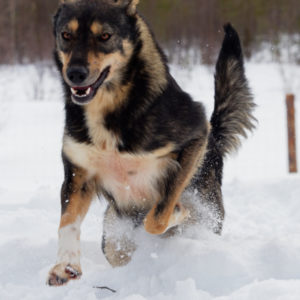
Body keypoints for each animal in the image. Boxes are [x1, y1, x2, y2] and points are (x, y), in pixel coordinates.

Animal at [47, 0, 255, 286]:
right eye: (66, 35)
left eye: (105, 36)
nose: (75, 74)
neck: (112, 108)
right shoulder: (79, 175)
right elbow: (67, 223)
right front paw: (65, 266)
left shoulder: (195, 135)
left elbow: (158, 215)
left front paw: (178, 212)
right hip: (114, 235)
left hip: (207, 213)